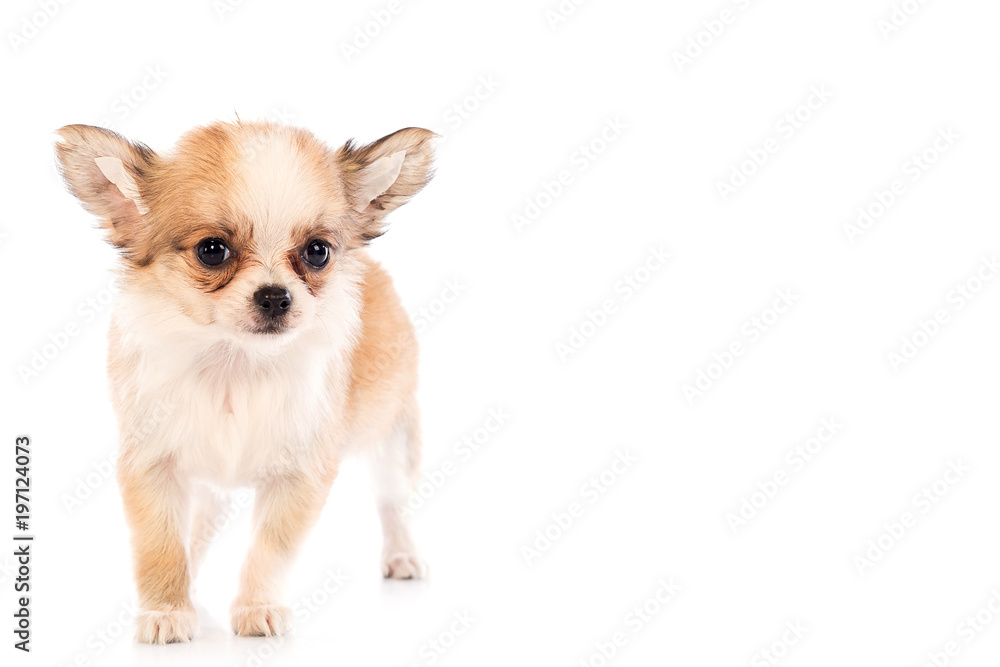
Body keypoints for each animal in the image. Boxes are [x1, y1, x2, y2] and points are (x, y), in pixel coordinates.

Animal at [54, 121, 436, 648]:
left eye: (318, 251)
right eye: (212, 250)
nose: (275, 296)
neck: (235, 364)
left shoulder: (301, 473)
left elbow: (269, 550)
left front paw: (259, 607)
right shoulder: (151, 464)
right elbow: (160, 545)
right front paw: (166, 611)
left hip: (395, 437)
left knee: (392, 502)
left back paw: (401, 556)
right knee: (195, 531)